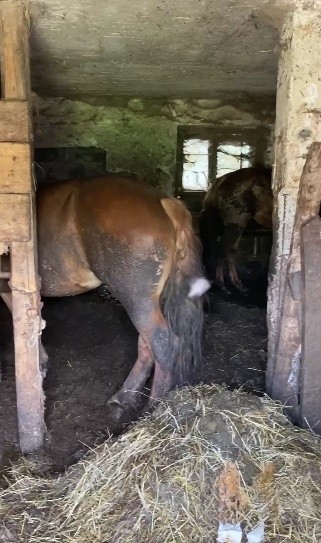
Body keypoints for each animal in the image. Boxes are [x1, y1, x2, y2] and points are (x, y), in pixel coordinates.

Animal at [32, 177, 208, 412]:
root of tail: (163, 201)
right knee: (147, 345)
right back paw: (125, 396)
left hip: (137, 300)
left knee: (163, 344)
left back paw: (154, 409)